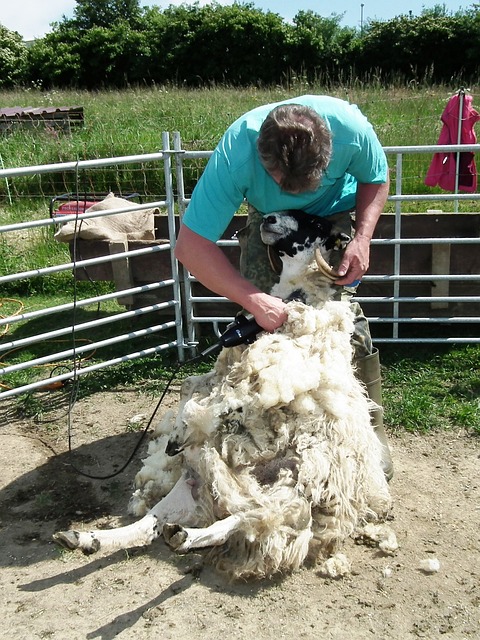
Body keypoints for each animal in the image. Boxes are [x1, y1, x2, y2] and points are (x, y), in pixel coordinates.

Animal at [55, 210, 394, 580]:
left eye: (315, 223)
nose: (270, 218)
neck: (295, 298)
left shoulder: (265, 382)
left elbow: (223, 402)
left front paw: (185, 430)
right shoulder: (220, 375)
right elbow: (190, 387)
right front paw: (177, 435)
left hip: (294, 485)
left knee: (251, 518)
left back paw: (183, 537)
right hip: (195, 482)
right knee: (151, 523)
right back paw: (89, 539)